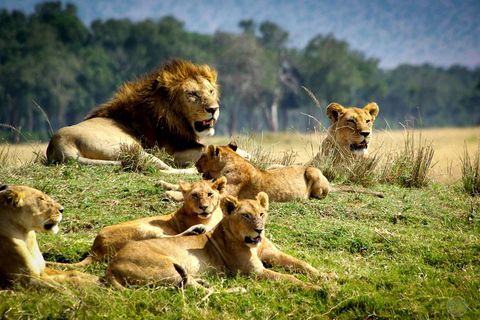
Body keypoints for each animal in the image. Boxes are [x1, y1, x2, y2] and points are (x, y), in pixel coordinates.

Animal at [46, 57, 222, 172]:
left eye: (211, 91)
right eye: (192, 94)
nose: (214, 109)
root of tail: (59, 144)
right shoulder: (170, 151)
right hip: (135, 151)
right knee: (164, 169)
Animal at [55, 179, 227, 266]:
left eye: (210, 194)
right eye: (195, 195)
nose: (203, 207)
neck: (211, 217)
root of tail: (94, 248)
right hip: (144, 227)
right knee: (162, 238)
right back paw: (197, 229)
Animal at [105, 191, 322, 292]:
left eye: (261, 214)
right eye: (245, 215)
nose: (259, 229)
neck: (253, 246)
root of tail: (112, 265)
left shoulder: (274, 253)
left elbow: (302, 264)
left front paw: (326, 277)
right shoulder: (254, 272)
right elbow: (289, 277)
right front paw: (316, 289)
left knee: (190, 283)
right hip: (165, 265)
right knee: (194, 289)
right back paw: (237, 289)